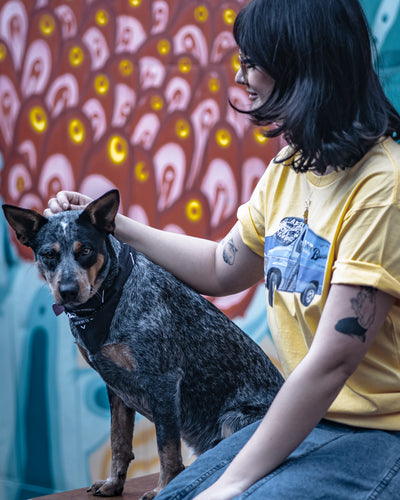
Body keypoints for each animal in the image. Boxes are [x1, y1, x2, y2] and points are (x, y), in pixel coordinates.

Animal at [3, 189, 284, 498]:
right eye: (49, 254)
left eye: (85, 250)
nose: (67, 291)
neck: (105, 303)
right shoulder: (114, 383)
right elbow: (119, 441)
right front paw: (114, 483)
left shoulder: (162, 379)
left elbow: (166, 447)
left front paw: (163, 488)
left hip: (231, 420)